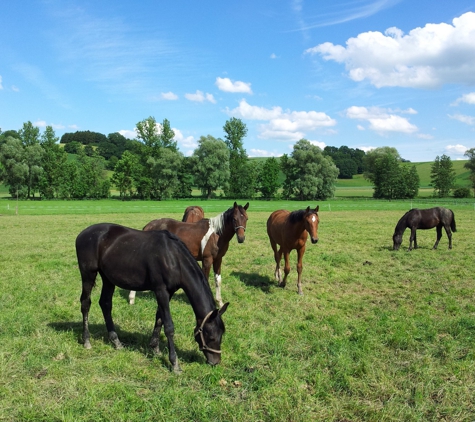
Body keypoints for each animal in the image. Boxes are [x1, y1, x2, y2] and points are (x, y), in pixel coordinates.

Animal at [76, 223, 229, 370]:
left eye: (222, 335)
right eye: (211, 336)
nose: (215, 362)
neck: (173, 258)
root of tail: (82, 234)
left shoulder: (169, 292)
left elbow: (159, 318)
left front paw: (155, 348)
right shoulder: (161, 291)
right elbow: (168, 326)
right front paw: (174, 363)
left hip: (108, 278)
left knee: (105, 304)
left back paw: (116, 341)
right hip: (88, 274)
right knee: (85, 303)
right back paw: (87, 340)